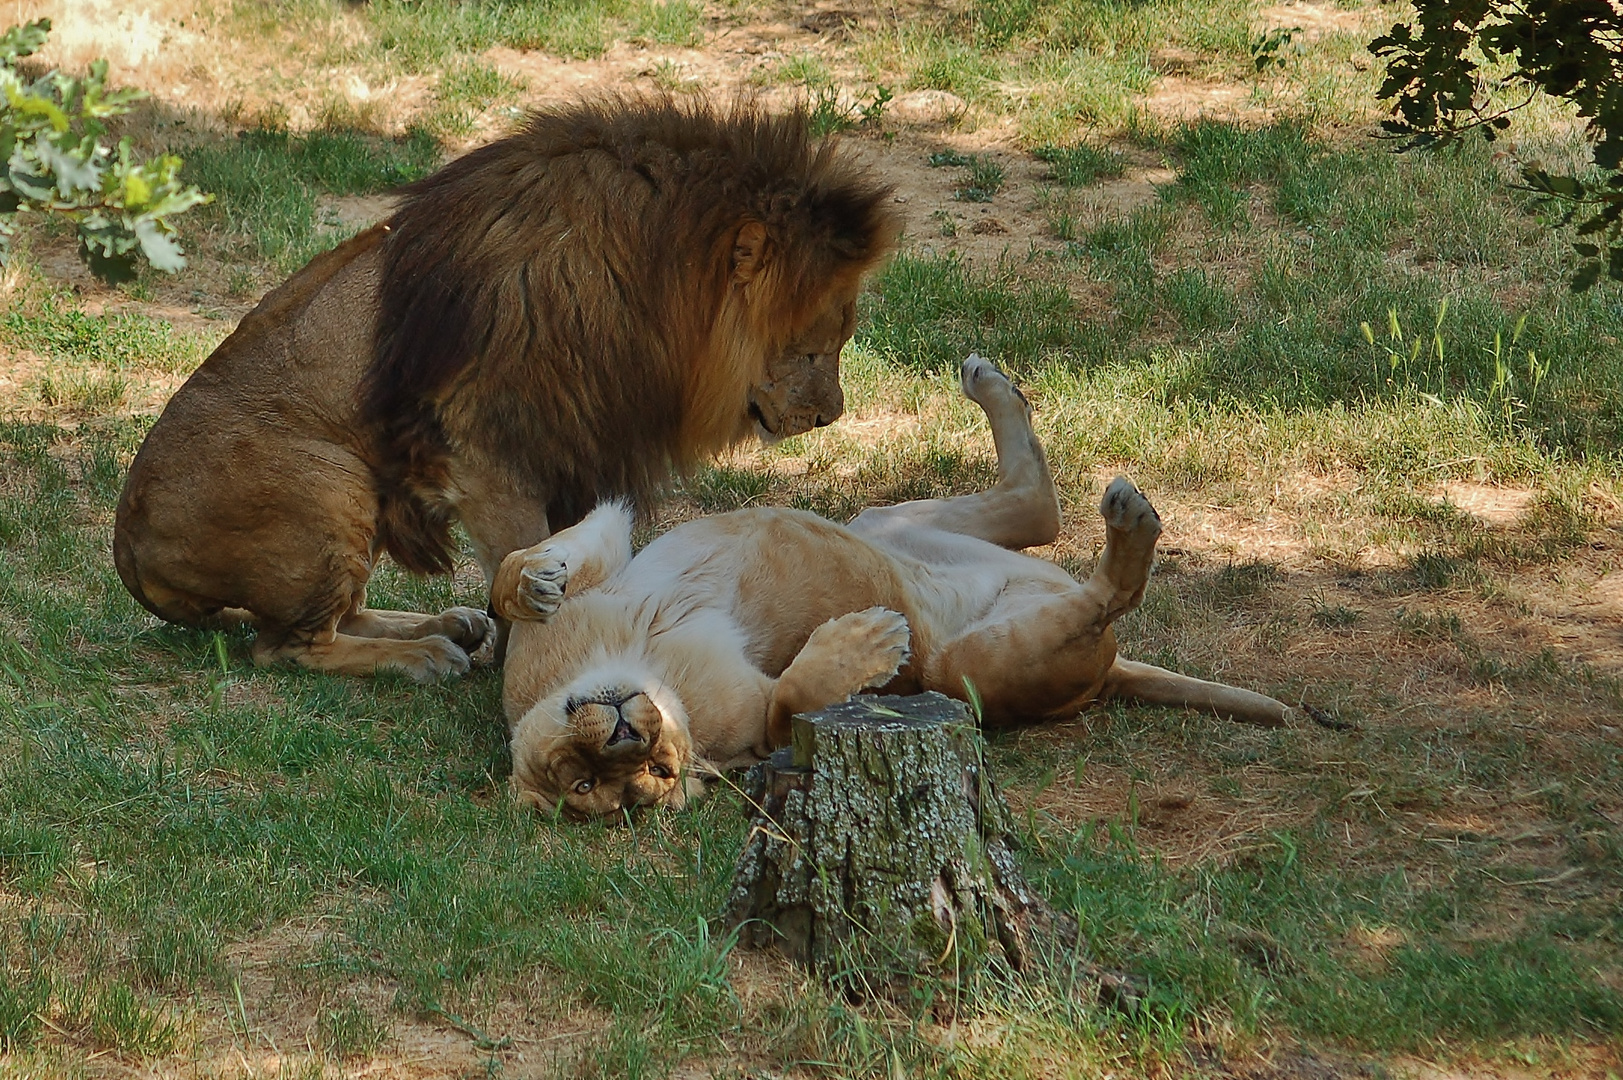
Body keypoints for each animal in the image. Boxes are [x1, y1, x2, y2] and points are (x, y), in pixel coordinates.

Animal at [114, 97, 902, 678]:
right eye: (812, 348)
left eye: (838, 344)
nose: (830, 416)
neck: (650, 287)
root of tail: (127, 549)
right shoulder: (487, 454)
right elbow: (527, 550)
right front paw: (532, 627)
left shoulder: (579, 447)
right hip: (330, 483)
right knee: (286, 646)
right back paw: (422, 657)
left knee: (341, 613)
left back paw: (447, 624)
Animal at [499, 354, 1298, 818]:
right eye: (587, 784)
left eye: (648, 766)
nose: (629, 735)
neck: (642, 662)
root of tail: (1114, 673)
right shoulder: (758, 733)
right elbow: (786, 704)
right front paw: (871, 640)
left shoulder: (605, 561)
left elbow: (537, 559)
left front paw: (534, 581)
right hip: (967, 664)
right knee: (1098, 589)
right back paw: (1128, 525)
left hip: (885, 520)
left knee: (1038, 507)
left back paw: (994, 387)